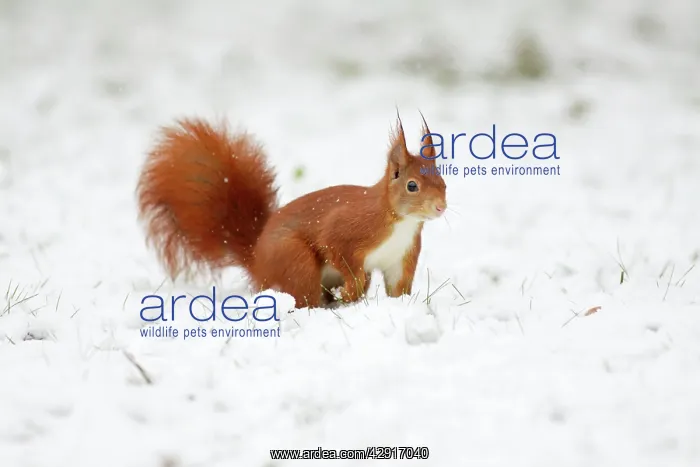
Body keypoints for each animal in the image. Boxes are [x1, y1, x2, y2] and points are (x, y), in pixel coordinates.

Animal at [136, 113, 447, 309]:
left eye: (443, 180)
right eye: (412, 186)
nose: (441, 207)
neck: (401, 222)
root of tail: (257, 261)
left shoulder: (401, 255)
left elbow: (398, 286)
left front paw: (400, 304)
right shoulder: (347, 231)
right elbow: (340, 253)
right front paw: (349, 292)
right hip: (294, 259)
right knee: (302, 295)